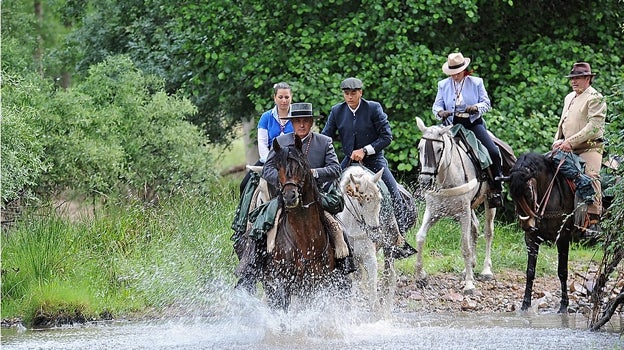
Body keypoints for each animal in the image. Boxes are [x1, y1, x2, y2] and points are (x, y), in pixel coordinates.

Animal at [260, 135, 344, 310]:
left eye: (299, 166)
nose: (289, 196)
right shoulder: (283, 285)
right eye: (278, 168)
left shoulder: (319, 283)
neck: (305, 241)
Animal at [336, 165, 400, 310]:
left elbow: (372, 297)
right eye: (360, 202)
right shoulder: (352, 261)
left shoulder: (370, 259)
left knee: (390, 277)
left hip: (389, 249)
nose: (375, 234)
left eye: (380, 200)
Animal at [414, 117, 498, 292]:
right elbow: (420, 237)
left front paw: (469, 284)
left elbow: (465, 247)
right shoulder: (433, 212)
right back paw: (471, 266)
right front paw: (420, 276)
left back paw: (486, 270)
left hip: (489, 201)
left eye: (439, 149)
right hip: (471, 206)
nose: (425, 181)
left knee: (488, 232)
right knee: (475, 228)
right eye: (420, 148)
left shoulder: (463, 213)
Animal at [508, 152, 576, 314]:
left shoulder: (563, 237)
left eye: (528, 193)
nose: (526, 225)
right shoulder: (531, 238)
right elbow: (530, 271)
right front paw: (525, 304)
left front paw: (563, 306)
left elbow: (562, 271)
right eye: (512, 195)